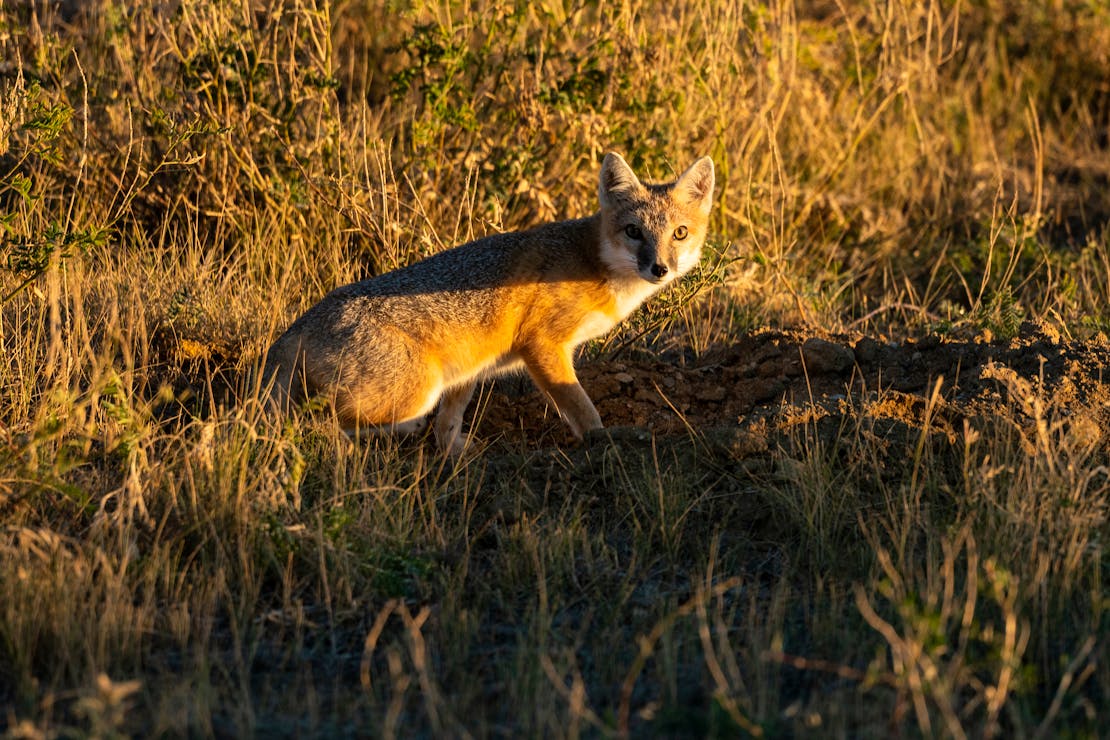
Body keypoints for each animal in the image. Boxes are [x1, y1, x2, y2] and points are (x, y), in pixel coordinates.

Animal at [263, 152, 715, 453]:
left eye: (679, 233)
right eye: (634, 231)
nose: (659, 268)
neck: (593, 260)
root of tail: (298, 325)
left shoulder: (470, 370)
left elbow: (450, 421)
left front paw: (454, 454)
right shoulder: (543, 345)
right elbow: (581, 407)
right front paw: (601, 438)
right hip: (414, 393)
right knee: (318, 422)